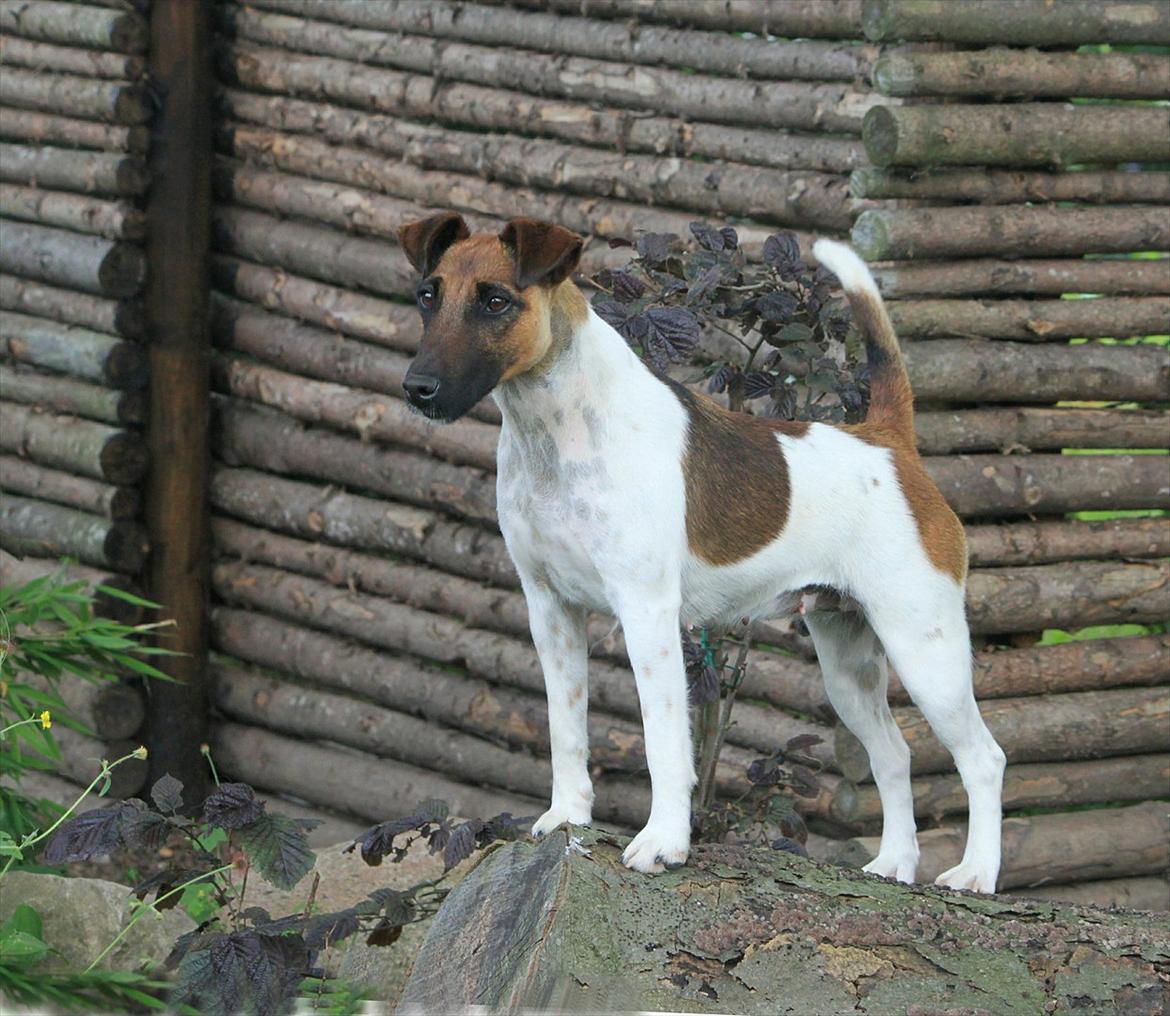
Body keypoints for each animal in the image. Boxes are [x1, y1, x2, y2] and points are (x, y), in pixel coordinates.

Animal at [402, 214, 1006, 889]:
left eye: (496, 301)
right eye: (427, 295)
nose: (417, 388)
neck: (560, 430)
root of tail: (889, 441)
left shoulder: (648, 614)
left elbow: (664, 741)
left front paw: (664, 842)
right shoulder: (550, 611)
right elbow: (566, 727)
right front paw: (568, 816)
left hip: (926, 650)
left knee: (984, 758)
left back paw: (976, 873)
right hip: (847, 661)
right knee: (893, 755)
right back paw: (894, 864)